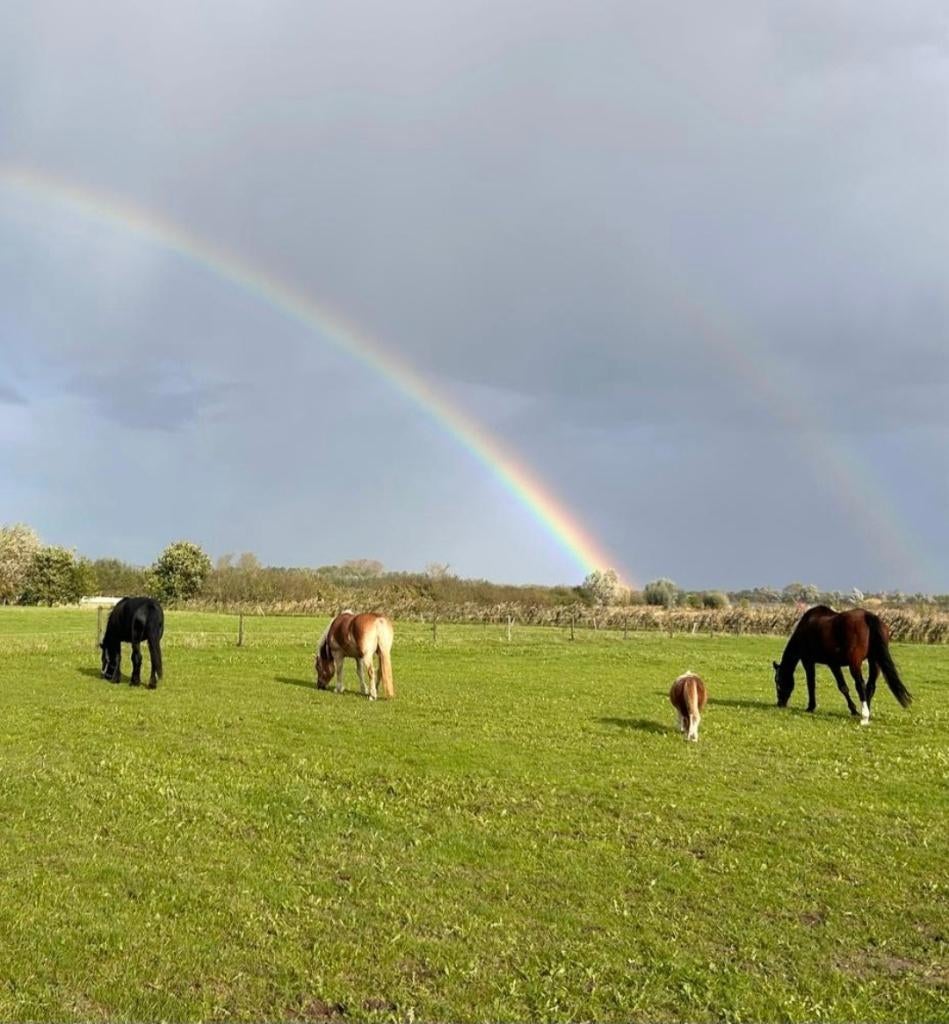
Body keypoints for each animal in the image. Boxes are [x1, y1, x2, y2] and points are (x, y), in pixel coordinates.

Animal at [773, 605, 911, 724]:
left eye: (778, 681)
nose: (780, 703)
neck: (805, 627)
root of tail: (867, 616)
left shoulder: (814, 662)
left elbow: (816, 684)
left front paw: (811, 707)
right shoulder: (833, 664)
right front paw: (854, 710)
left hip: (854, 664)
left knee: (860, 685)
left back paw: (864, 715)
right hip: (874, 661)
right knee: (870, 686)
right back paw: (867, 711)